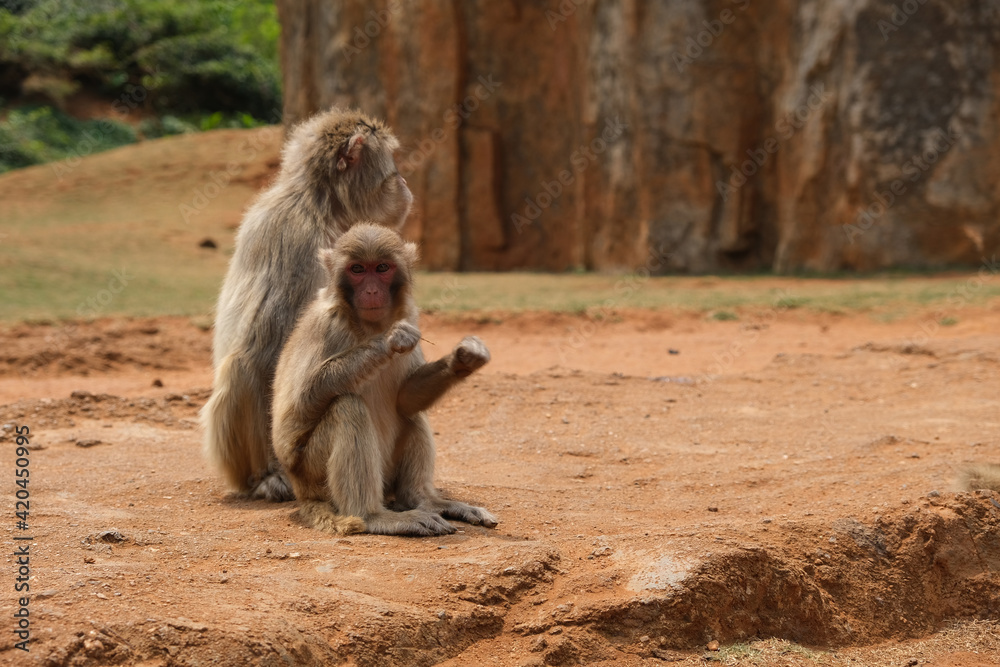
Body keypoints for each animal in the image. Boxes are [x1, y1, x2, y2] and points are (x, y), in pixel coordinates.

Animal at [200, 108, 414, 502]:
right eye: (392, 166)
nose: (405, 182)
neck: (322, 204)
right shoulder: (300, 244)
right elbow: (268, 354)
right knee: (242, 365)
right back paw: (266, 475)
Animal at [271, 223, 498, 536]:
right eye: (357, 269)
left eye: (381, 268)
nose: (370, 290)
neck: (366, 324)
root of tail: (301, 490)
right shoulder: (327, 325)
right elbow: (302, 402)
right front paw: (389, 340)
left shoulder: (410, 314)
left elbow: (406, 398)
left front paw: (463, 359)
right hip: (311, 472)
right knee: (347, 408)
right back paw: (374, 516)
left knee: (413, 415)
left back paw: (422, 500)